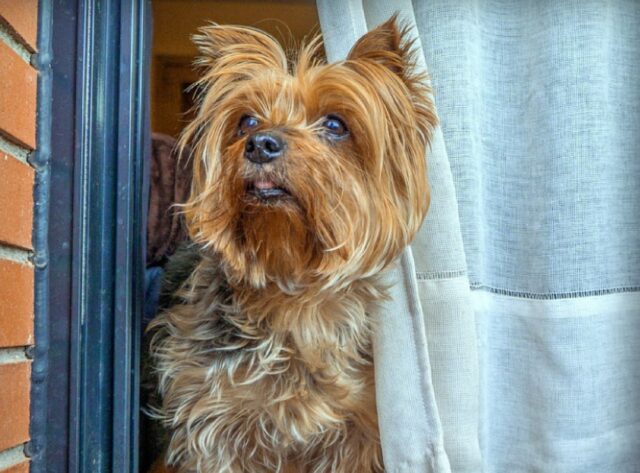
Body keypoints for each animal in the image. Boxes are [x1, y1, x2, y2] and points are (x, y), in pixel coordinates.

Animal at [148, 14, 438, 472]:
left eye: (335, 124)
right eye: (247, 122)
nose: (260, 143)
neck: (294, 289)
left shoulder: (357, 432)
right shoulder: (214, 420)